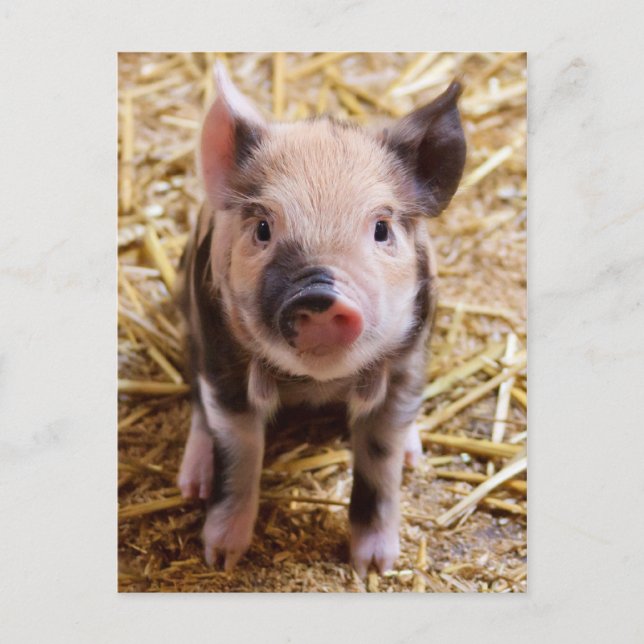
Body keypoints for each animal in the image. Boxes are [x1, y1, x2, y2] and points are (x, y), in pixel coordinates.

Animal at [176, 62, 466, 575]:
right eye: (263, 228)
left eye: (381, 229)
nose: (319, 294)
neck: (316, 384)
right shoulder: (221, 357)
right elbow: (239, 452)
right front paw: (221, 558)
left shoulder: (408, 362)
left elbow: (381, 459)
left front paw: (375, 567)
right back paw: (192, 485)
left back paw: (416, 457)